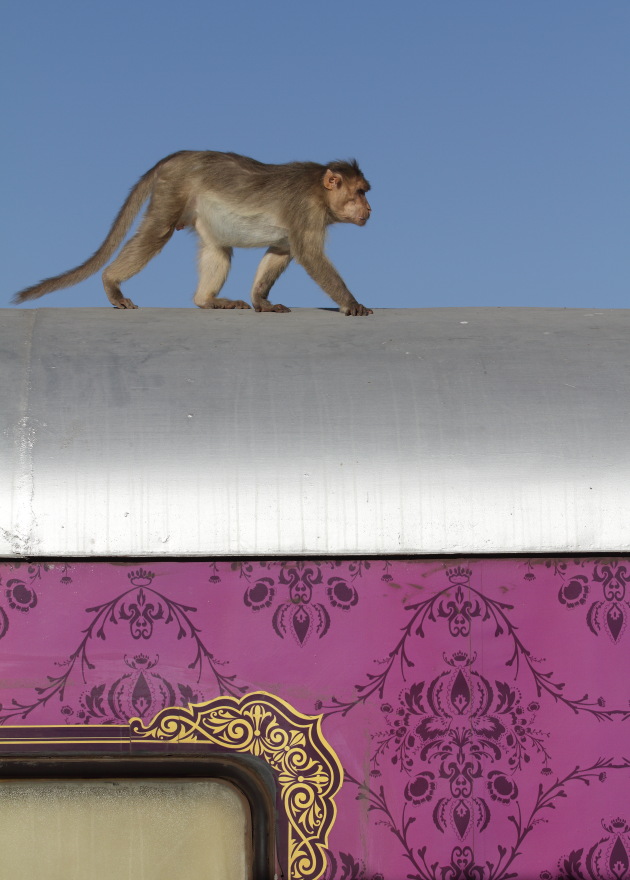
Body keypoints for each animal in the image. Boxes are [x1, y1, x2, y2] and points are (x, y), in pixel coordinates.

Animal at [12, 151, 372, 316]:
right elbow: (309, 254)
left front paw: (261, 301)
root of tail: (175, 158)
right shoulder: (306, 210)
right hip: (174, 189)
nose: (369, 209)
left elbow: (281, 251)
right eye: (359, 192)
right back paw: (111, 283)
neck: (320, 192)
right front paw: (351, 303)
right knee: (157, 232)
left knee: (218, 248)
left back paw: (207, 300)